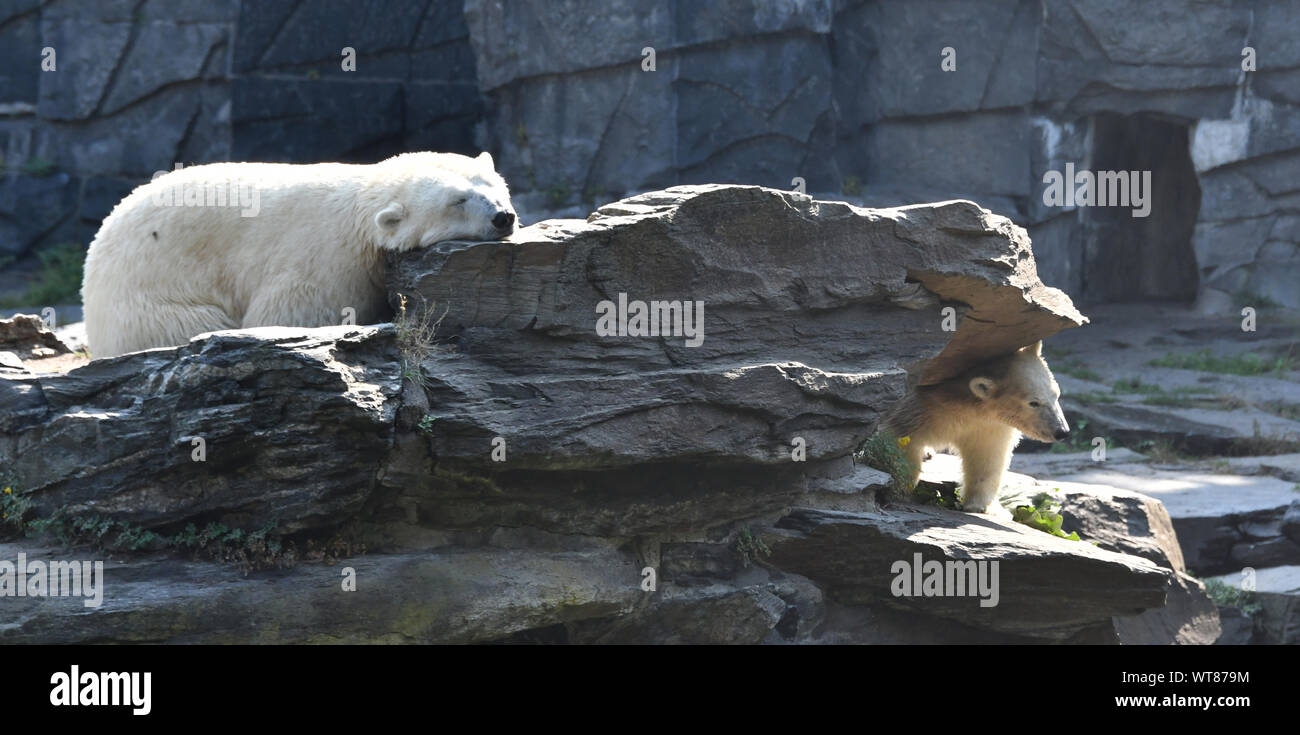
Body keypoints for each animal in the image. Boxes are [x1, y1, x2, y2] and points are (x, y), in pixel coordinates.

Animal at [78, 150, 517, 356]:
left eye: (495, 185)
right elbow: (284, 313)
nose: (503, 217)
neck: (360, 213)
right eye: (458, 200)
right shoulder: (327, 261)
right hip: (148, 303)